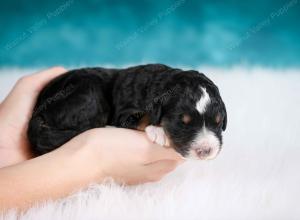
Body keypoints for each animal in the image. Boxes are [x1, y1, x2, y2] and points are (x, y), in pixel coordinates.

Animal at [28, 63, 226, 160]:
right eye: (181, 123)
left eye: (218, 123)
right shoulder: (123, 114)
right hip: (90, 93)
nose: (206, 151)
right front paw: (159, 132)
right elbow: (144, 116)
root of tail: (37, 113)